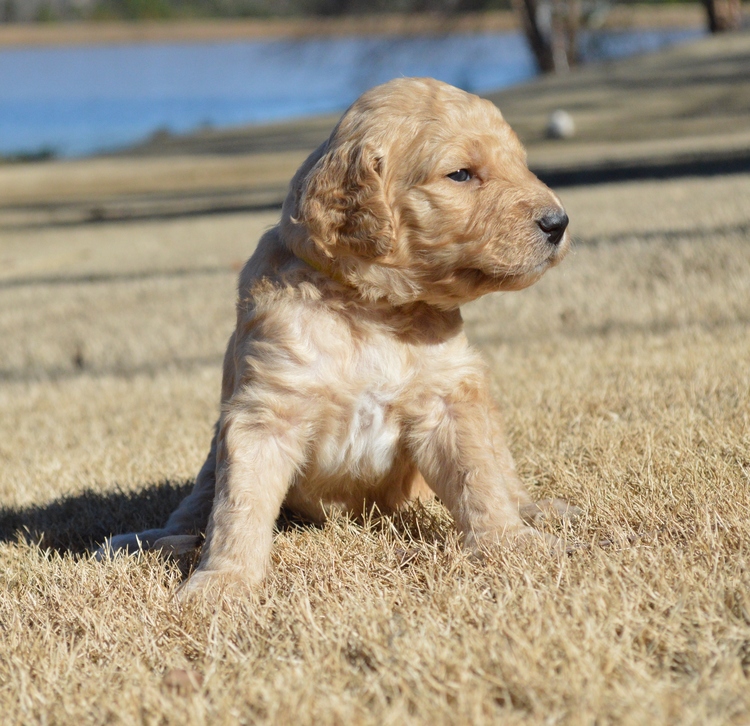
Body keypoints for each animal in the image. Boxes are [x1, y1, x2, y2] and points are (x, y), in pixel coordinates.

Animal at [101, 77, 576, 596]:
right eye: (461, 175)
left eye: (520, 164)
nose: (558, 223)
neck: (370, 309)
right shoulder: (265, 412)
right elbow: (238, 507)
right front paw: (224, 580)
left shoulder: (450, 398)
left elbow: (480, 478)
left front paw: (510, 543)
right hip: (208, 466)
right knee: (194, 509)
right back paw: (151, 541)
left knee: (504, 471)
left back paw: (537, 510)